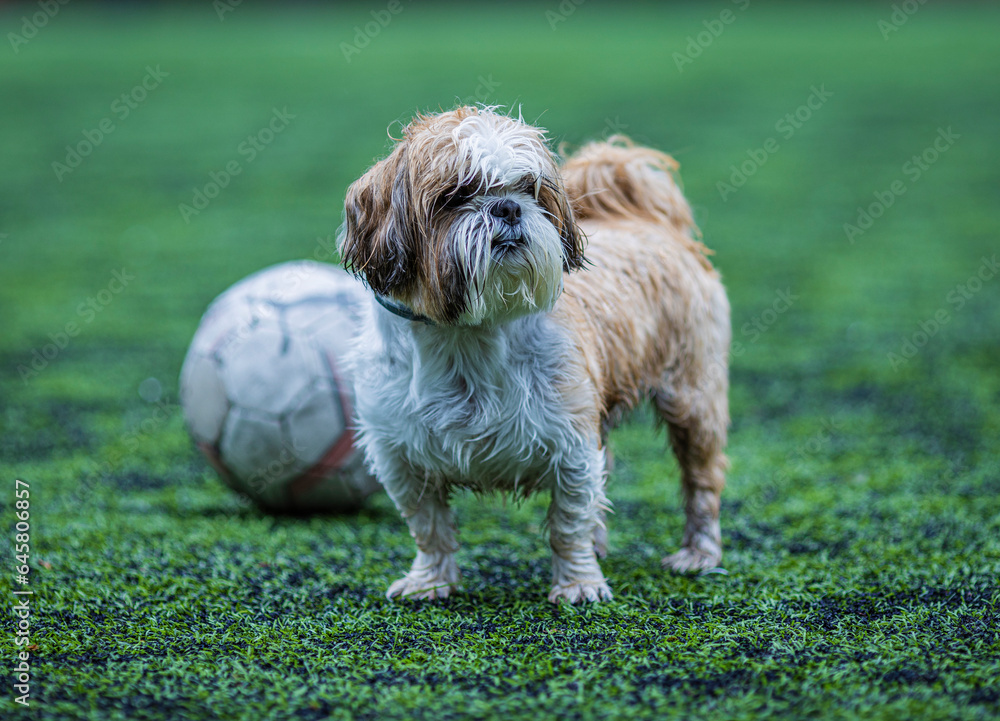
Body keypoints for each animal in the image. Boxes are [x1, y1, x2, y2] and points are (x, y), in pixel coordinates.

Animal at [340, 105, 732, 600]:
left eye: (530, 189)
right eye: (456, 193)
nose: (507, 207)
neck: (468, 336)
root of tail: (648, 221)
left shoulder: (571, 445)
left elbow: (568, 523)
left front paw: (579, 583)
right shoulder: (401, 458)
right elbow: (429, 527)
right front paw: (430, 580)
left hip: (692, 398)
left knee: (701, 482)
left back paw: (698, 553)